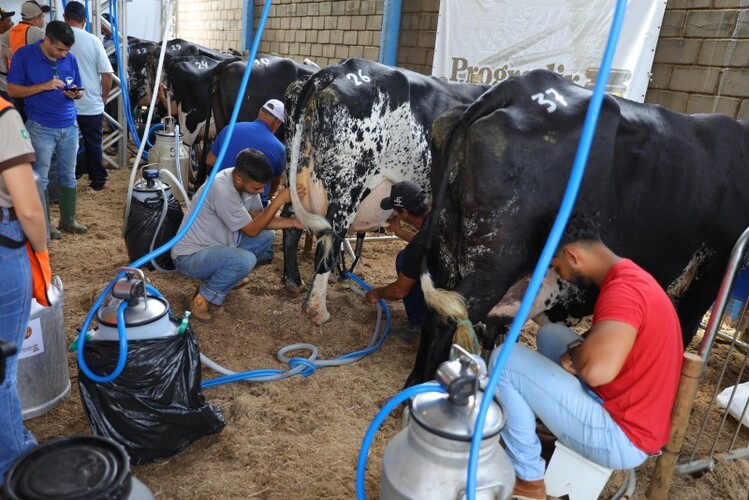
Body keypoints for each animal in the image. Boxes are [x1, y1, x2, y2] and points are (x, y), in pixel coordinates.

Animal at [284, 57, 488, 324]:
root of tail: (339, 69)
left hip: (296, 174)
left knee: (290, 224)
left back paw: (292, 281)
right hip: (347, 190)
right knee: (328, 243)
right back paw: (318, 310)